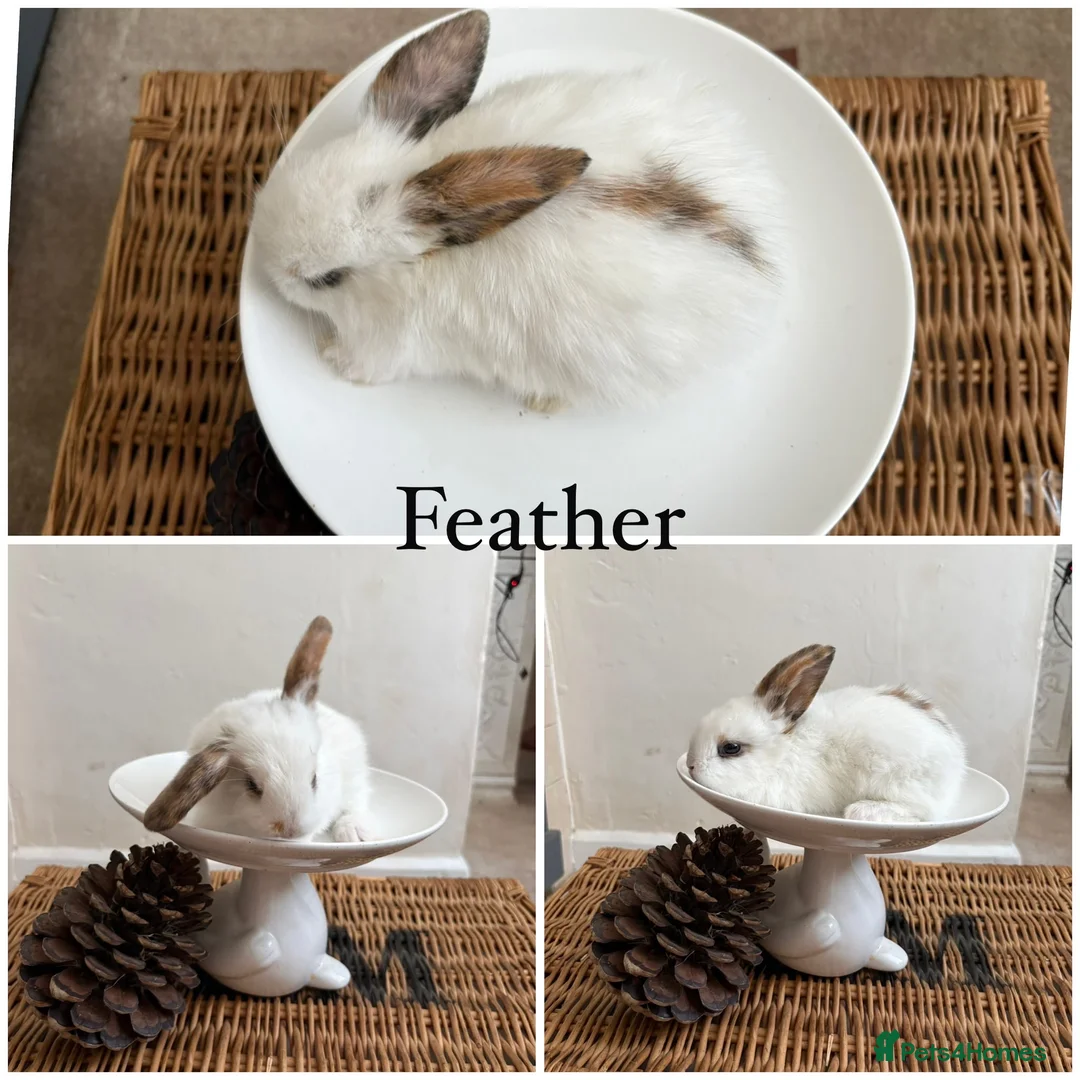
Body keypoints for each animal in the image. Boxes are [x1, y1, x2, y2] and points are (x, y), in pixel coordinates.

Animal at [687, 644, 966, 823]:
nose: (691, 765)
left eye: (731, 748)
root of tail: (957, 762)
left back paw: (863, 811)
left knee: (923, 812)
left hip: (896, 781)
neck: (781, 755)